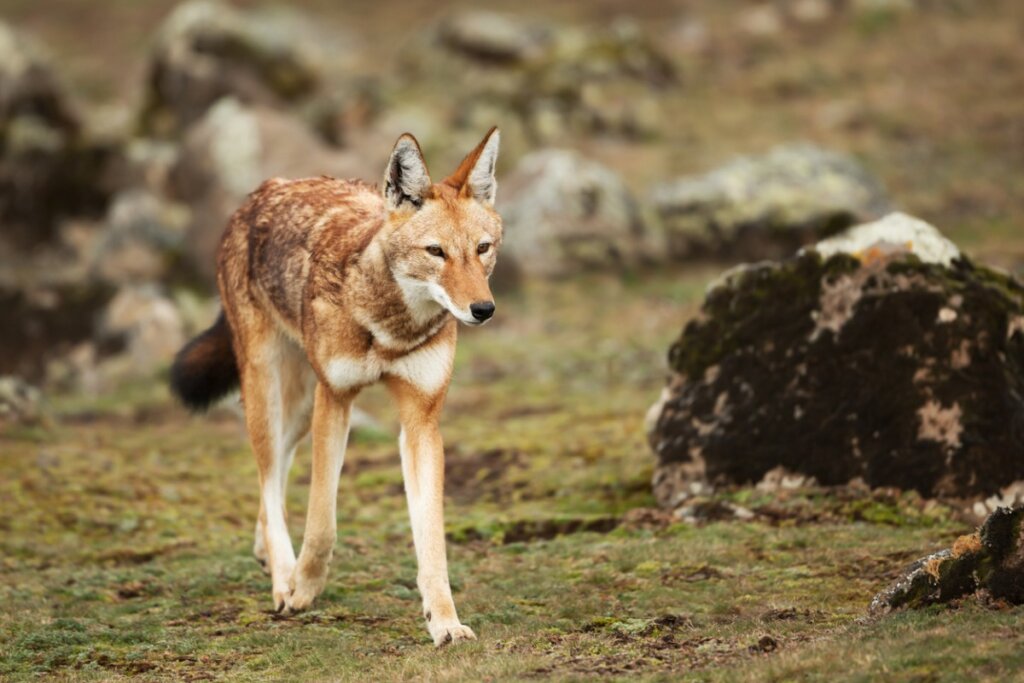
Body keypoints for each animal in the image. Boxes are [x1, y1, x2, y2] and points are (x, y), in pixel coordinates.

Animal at [169, 127, 501, 647]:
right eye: (436, 252)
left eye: (482, 248)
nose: (483, 310)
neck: (390, 325)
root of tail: (264, 191)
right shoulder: (336, 399)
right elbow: (322, 522)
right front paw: (301, 590)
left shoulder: (421, 421)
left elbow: (432, 540)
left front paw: (445, 622)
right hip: (270, 391)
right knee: (267, 475)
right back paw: (281, 576)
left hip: (300, 407)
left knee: (275, 473)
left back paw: (265, 553)